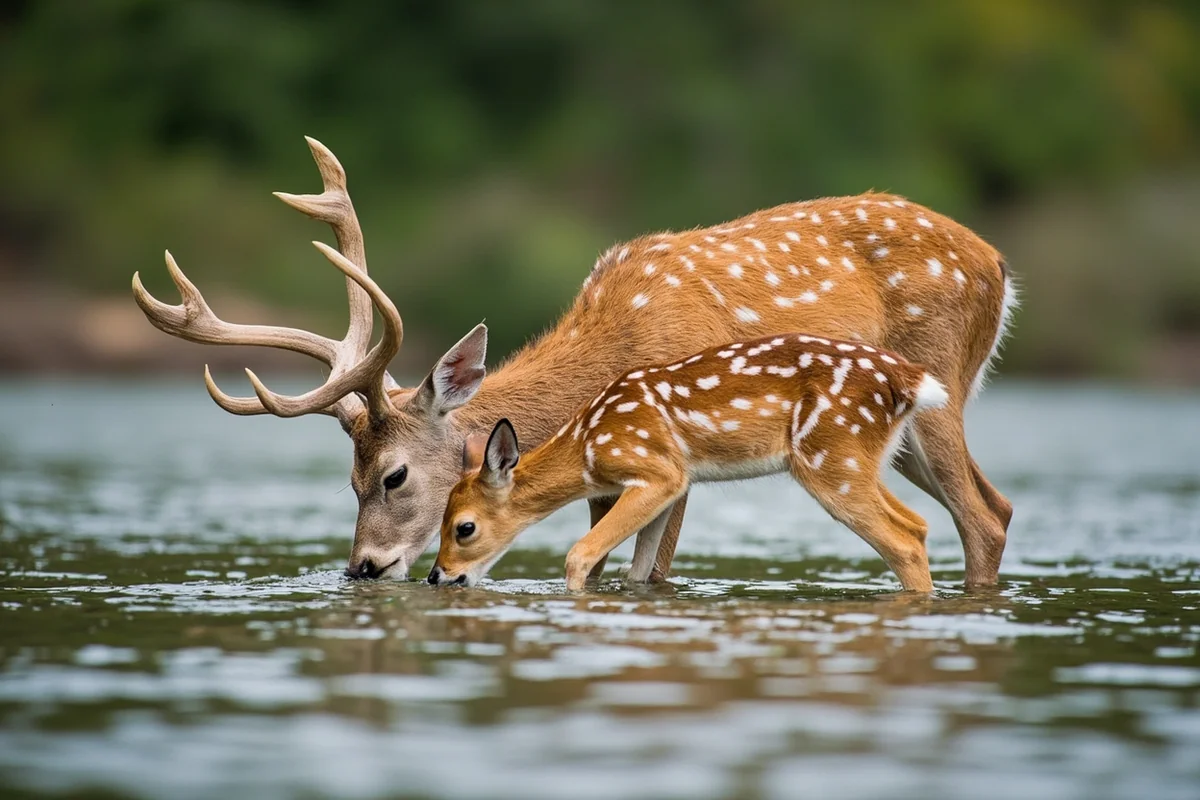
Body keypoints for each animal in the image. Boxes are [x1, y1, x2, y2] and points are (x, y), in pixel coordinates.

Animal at [428, 334, 950, 591]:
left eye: (464, 527)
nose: (438, 575)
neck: (588, 443)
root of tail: (908, 380)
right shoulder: (673, 483)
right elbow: (636, 572)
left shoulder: (656, 471)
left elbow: (580, 554)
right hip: (858, 458)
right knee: (918, 523)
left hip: (829, 456)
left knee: (902, 540)